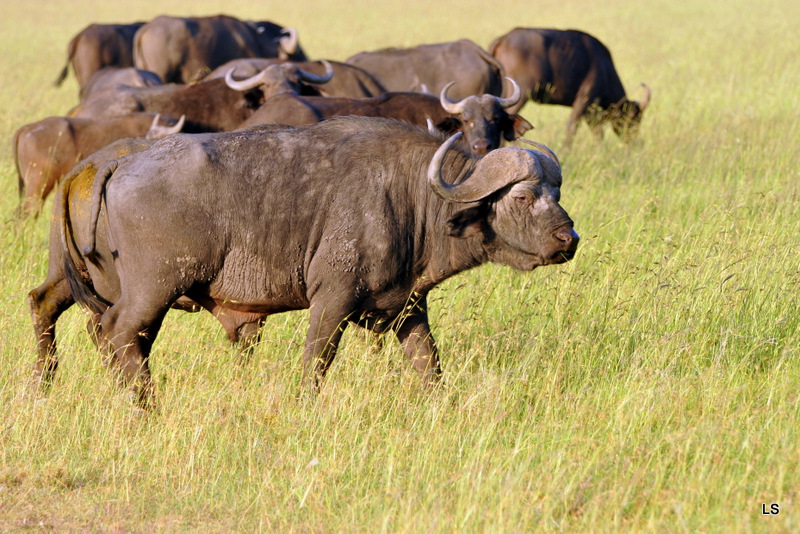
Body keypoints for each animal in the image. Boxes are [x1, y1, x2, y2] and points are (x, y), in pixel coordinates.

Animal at [62, 118, 576, 410]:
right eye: (523, 197)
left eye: (556, 193)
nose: (568, 239)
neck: (413, 198)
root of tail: (119, 164)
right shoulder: (332, 302)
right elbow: (316, 363)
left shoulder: (409, 308)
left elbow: (429, 365)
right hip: (156, 289)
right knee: (118, 333)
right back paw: (148, 406)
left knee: (112, 336)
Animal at [488, 28, 648, 146]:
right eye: (633, 119)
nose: (635, 142)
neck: (605, 69)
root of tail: (503, 39)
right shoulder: (584, 100)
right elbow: (573, 127)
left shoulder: (590, 109)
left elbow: (596, 129)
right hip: (520, 95)